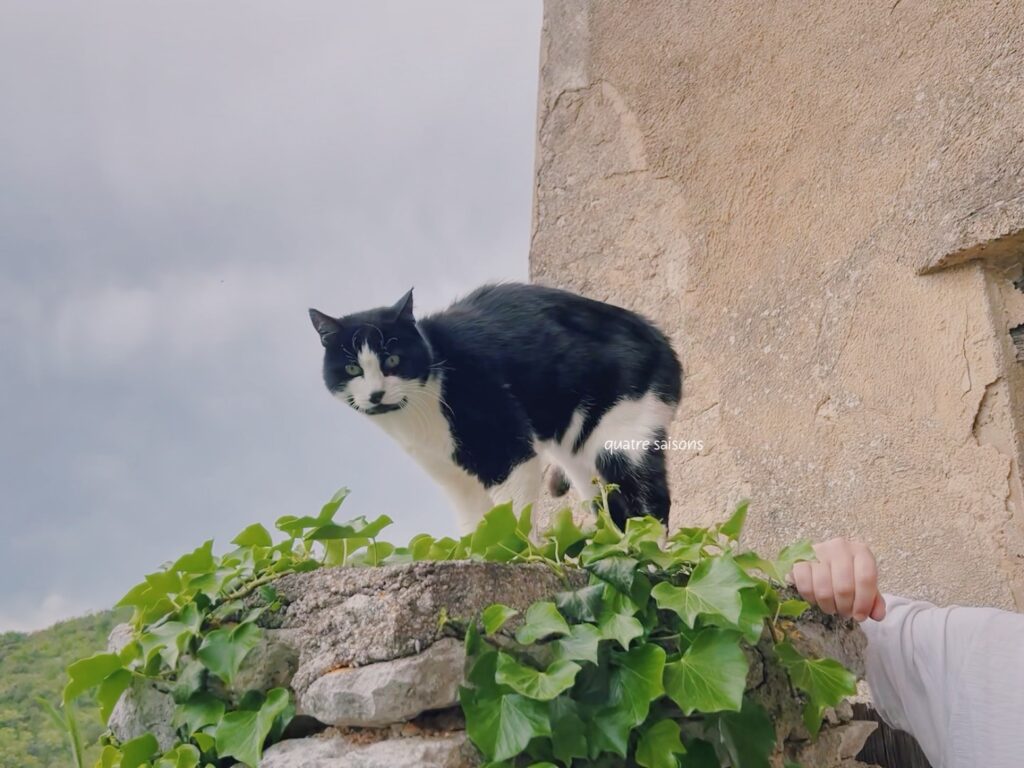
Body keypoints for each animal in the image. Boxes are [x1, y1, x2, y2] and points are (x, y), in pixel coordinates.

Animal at [307, 284, 684, 536]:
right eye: (353, 369)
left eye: (392, 361)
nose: (376, 394)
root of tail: (660, 337)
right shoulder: (447, 472)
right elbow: (472, 519)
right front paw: (477, 552)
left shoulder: (505, 446)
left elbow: (512, 512)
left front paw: (519, 553)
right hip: (579, 455)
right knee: (608, 504)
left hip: (621, 438)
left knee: (649, 500)